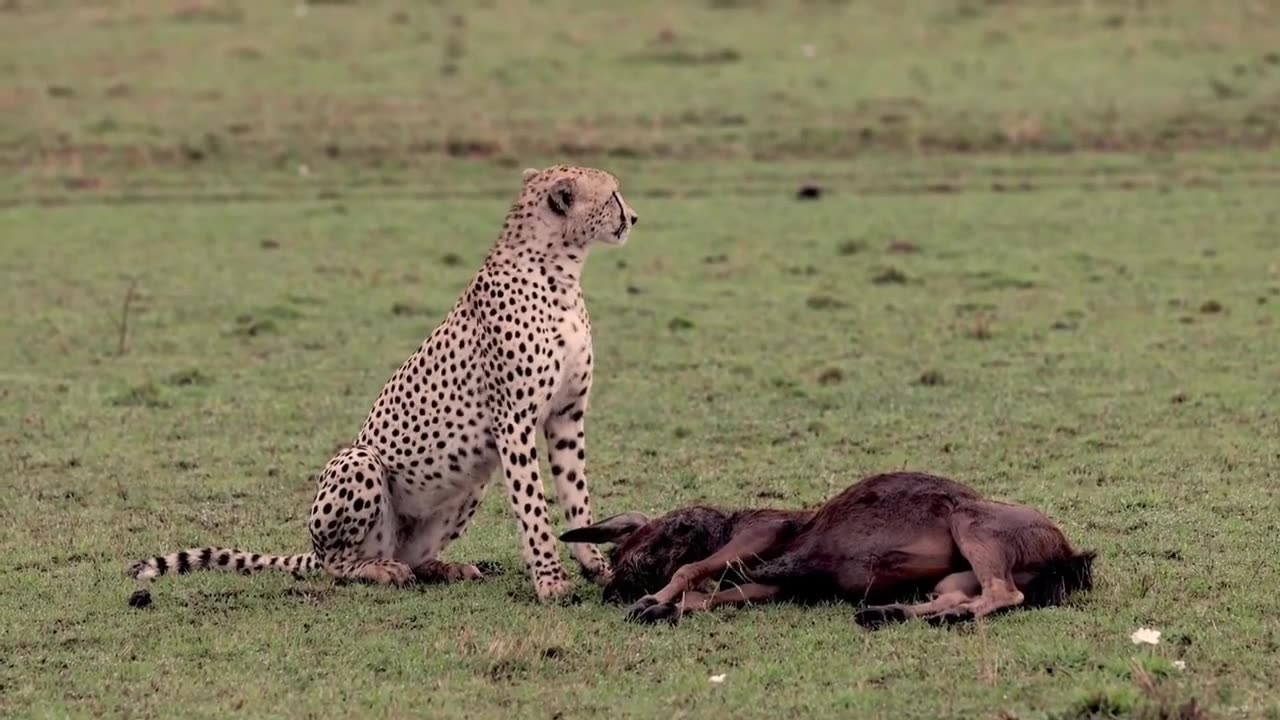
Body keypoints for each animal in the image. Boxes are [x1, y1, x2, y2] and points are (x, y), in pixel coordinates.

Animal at [129, 163, 640, 599]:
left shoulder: (566, 415)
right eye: (613, 194)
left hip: (470, 483)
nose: (633, 217)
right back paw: (378, 570)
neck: (560, 273)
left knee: (415, 556)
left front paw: (594, 565)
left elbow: (576, 496)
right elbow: (533, 506)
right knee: (341, 564)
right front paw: (551, 581)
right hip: (361, 462)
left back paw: (443, 567)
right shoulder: (514, 420)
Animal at [563, 471, 1100, 622]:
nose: (610, 588)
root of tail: (1066, 553)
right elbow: (706, 596)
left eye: (631, 548)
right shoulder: (767, 587)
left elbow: (689, 572)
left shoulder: (761, 533)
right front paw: (663, 608)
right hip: (953, 574)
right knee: (963, 595)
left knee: (1004, 594)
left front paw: (651, 602)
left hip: (968, 521)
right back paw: (889, 612)